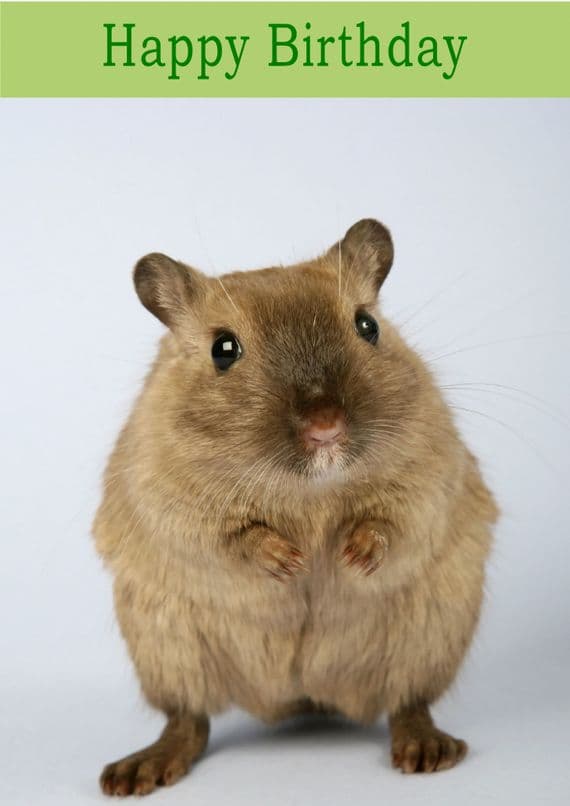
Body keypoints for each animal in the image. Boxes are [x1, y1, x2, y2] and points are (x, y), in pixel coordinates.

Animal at [93, 219, 498, 796]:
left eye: (368, 325)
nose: (326, 427)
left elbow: (394, 519)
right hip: (168, 651)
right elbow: (229, 538)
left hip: (428, 639)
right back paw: (137, 772)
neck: (309, 489)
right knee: (189, 718)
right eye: (223, 348)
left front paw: (353, 555)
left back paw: (426, 749)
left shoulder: (430, 472)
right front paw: (289, 562)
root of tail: (303, 695)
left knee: (408, 701)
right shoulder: (169, 499)